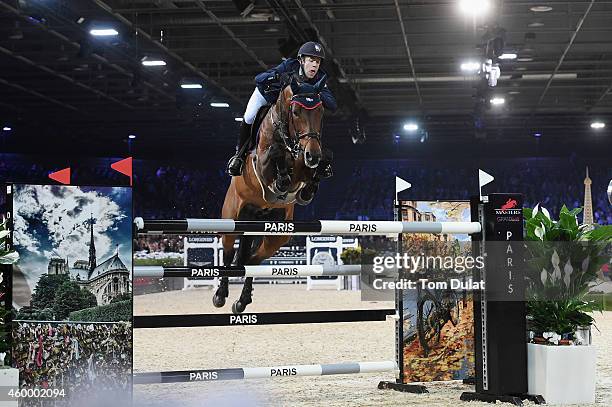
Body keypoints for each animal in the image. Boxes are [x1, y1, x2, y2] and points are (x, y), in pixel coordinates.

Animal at [215, 74, 330, 316]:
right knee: (228, 253)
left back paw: (242, 301)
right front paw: (281, 181)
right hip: (232, 219)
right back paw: (220, 295)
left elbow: (317, 167)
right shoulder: (263, 163)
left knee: (252, 260)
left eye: (321, 112)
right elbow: (275, 156)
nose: (312, 155)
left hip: (276, 234)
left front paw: (310, 185)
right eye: (296, 111)